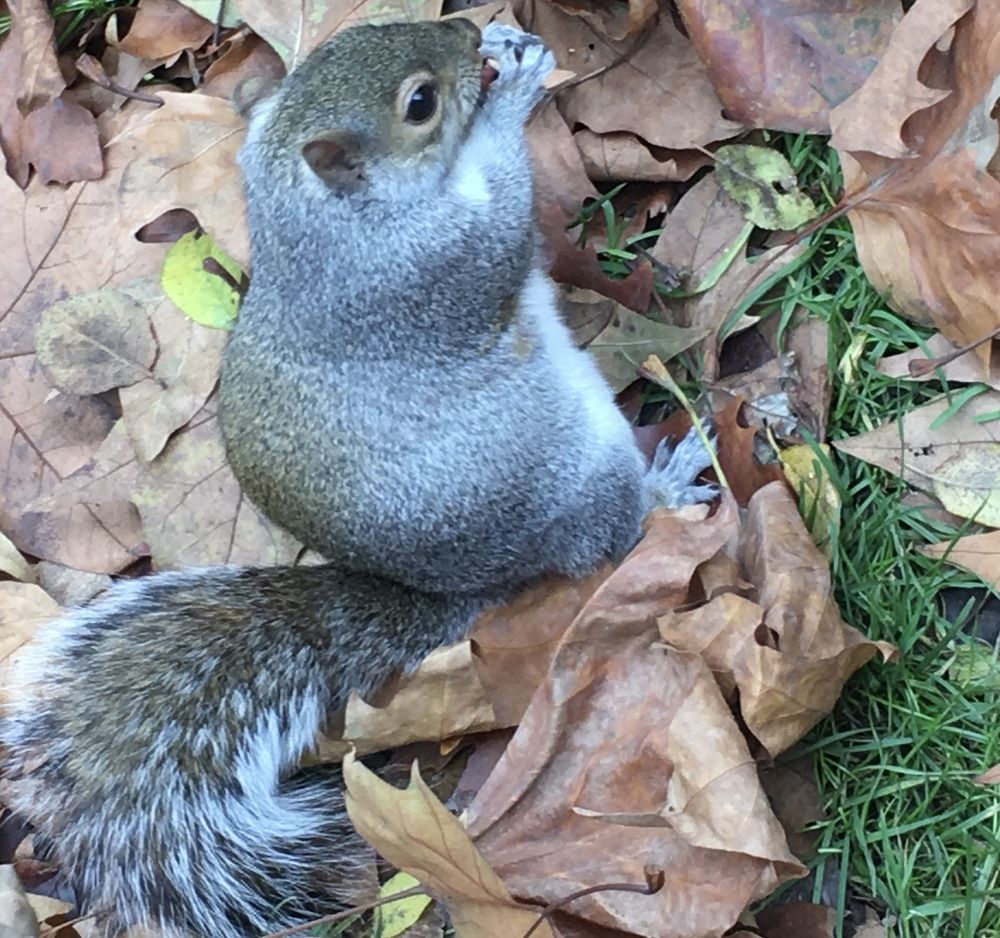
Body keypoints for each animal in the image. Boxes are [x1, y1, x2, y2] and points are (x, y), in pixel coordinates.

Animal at [0, 19, 715, 938]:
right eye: (420, 102)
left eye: (368, 31)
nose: (465, 32)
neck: (322, 223)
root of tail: (465, 586)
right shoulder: (429, 271)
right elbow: (503, 226)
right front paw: (512, 97)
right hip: (577, 476)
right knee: (615, 532)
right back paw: (670, 483)